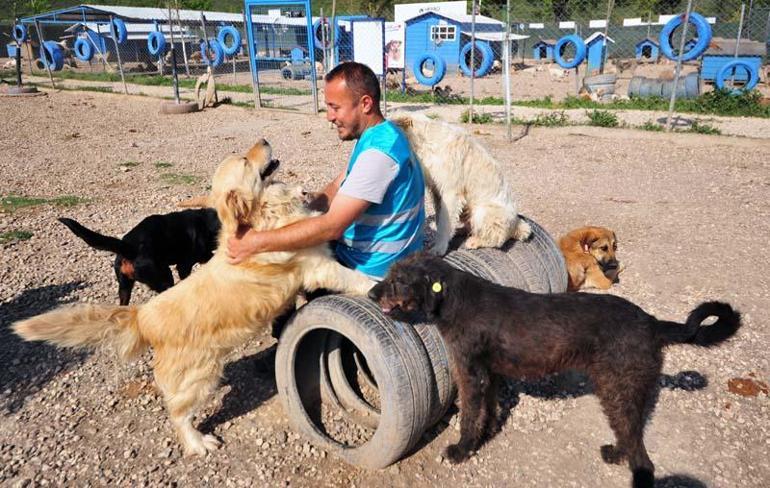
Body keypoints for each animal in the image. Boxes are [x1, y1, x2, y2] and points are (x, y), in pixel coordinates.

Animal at [368, 254, 740, 488]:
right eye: (390, 275)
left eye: (399, 281)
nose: (371, 293)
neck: (456, 300)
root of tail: (651, 323)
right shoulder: (490, 375)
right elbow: (488, 411)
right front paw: (485, 437)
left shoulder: (471, 376)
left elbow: (470, 416)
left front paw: (461, 450)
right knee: (632, 435)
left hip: (618, 391)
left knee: (641, 451)